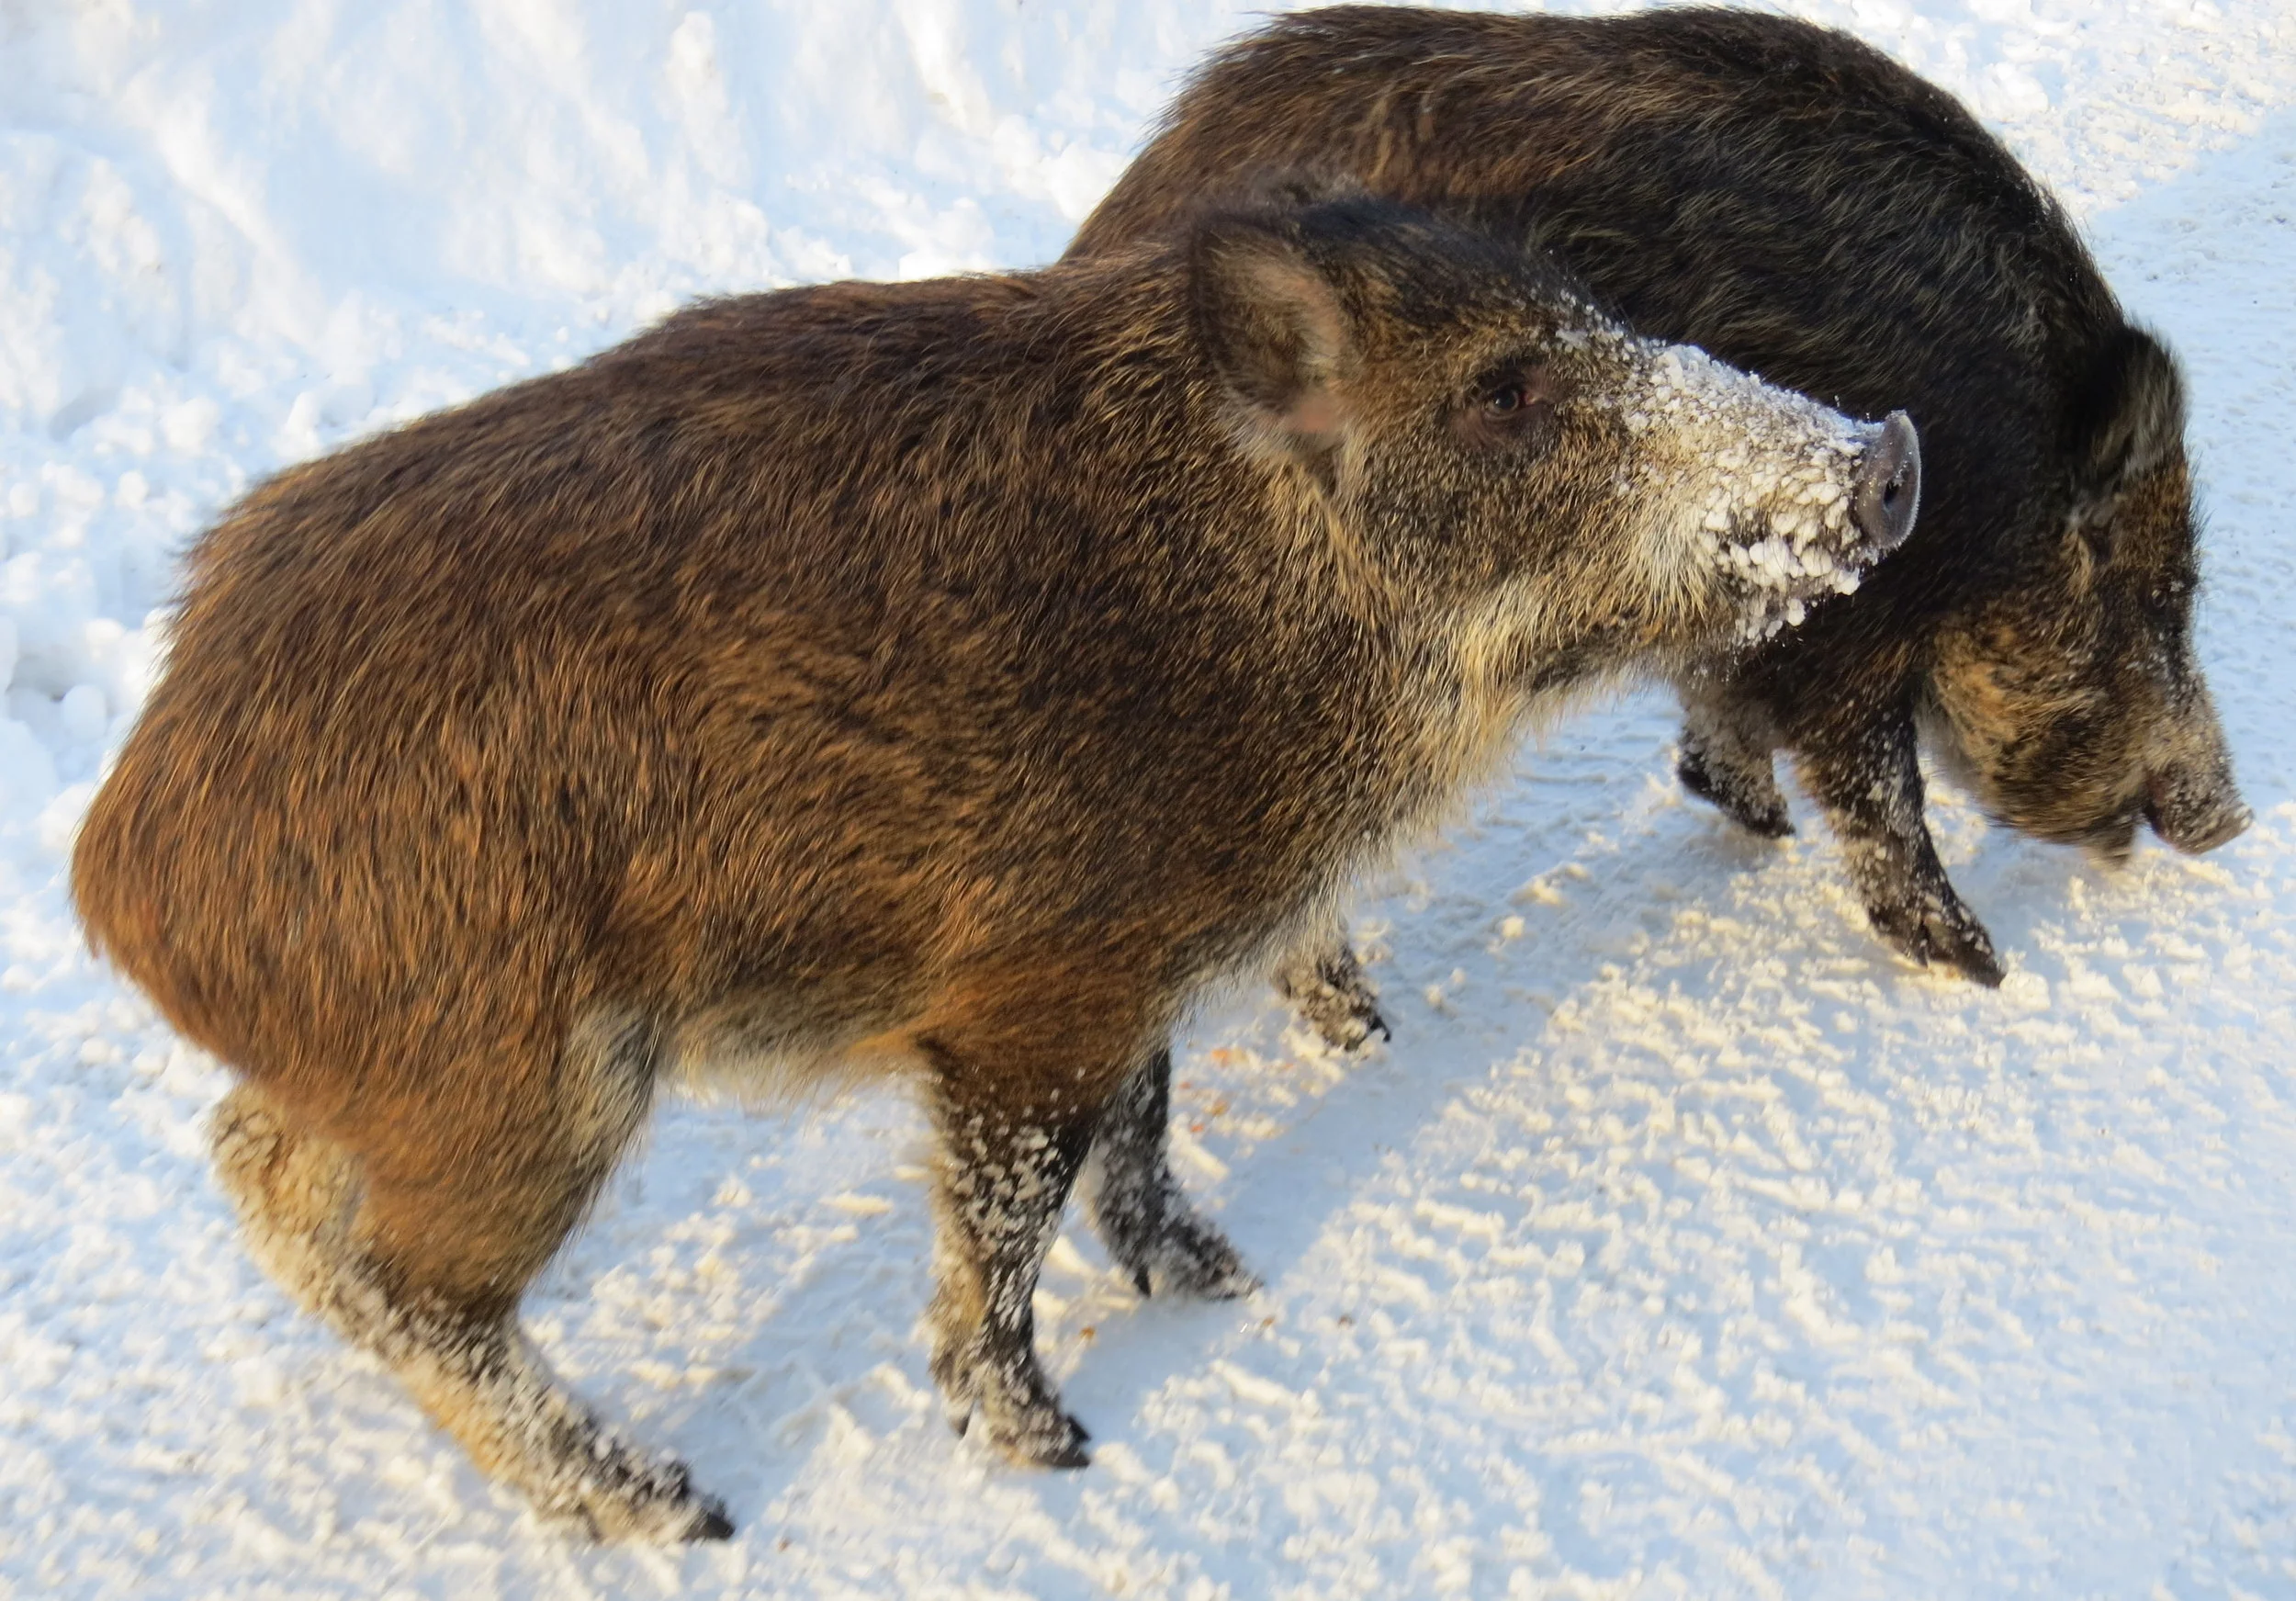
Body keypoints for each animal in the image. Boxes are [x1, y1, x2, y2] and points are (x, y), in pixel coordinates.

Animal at [72, 194, 1916, 1540]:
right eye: (1504, 390)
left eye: (1596, 325)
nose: (1889, 453)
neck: (1255, 604)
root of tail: (120, 850)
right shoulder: (1032, 989)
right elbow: (1010, 1214)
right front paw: (1054, 1445)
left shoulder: (1153, 960)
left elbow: (1143, 1127)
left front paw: (1219, 1281)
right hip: (520, 1084)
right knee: (415, 1284)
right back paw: (677, 1510)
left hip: (404, 1083)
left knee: (260, 1173)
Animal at [1072, 5, 2248, 1000]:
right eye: (2153, 596)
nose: (2229, 820)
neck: (1994, 471)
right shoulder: (1842, 632)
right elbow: (1880, 795)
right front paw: (1980, 968)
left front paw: (1760, 823)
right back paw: (1361, 1028)